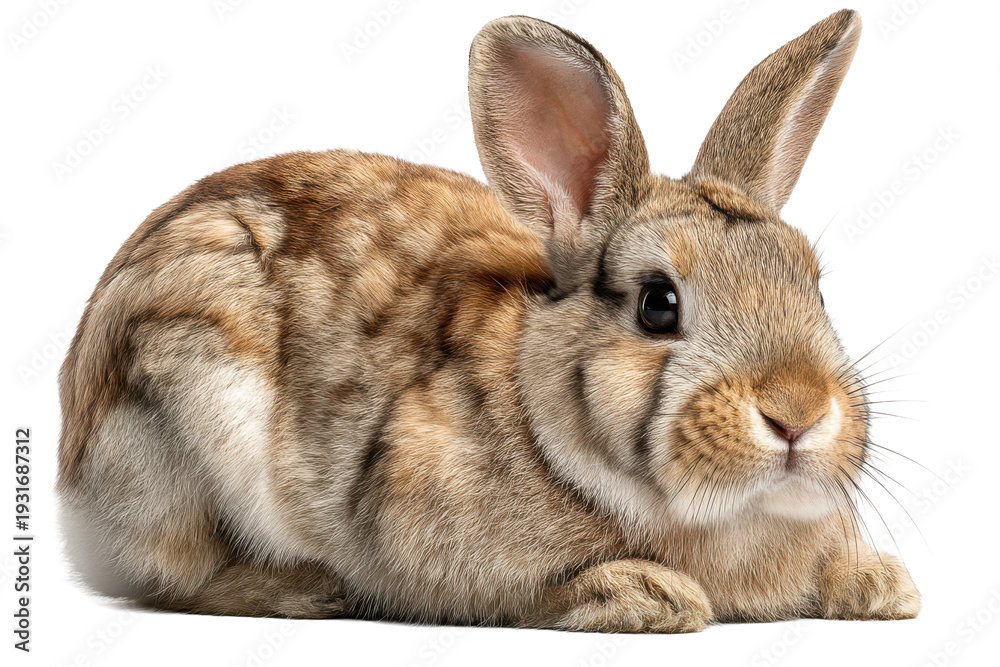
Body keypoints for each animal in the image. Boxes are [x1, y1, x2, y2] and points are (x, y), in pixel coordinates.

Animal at [57, 9, 920, 632]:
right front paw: (647, 595)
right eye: (658, 303)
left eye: (814, 287)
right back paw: (307, 590)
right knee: (178, 577)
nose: (798, 412)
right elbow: (520, 593)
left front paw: (882, 585)